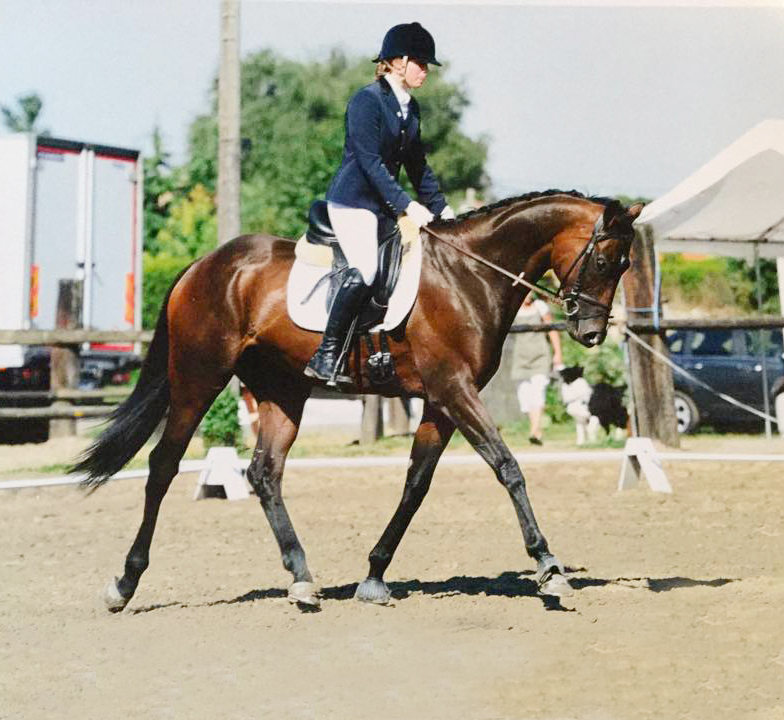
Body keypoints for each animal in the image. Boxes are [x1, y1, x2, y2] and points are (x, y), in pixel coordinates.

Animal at [72, 188, 644, 612]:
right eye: (605, 260)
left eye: (623, 264)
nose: (592, 334)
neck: (469, 274)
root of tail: (202, 265)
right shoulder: (453, 390)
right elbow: (508, 467)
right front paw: (548, 567)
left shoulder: (440, 402)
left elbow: (416, 484)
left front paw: (374, 573)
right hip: (198, 379)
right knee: (163, 466)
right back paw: (124, 584)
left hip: (282, 391)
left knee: (264, 473)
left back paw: (302, 579)